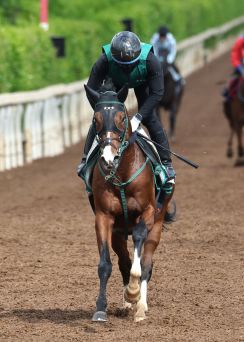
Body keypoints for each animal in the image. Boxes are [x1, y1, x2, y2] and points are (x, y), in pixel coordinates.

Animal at [84, 84, 175, 322]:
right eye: (95, 119)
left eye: (121, 118)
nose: (109, 158)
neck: (122, 173)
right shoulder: (104, 217)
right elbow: (105, 264)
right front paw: (101, 308)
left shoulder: (148, 212)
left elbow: (140, 254)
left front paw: (134, 293)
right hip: (118, 232)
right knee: (123, 261)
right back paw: (126, 303)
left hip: (157, 225)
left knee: (146, 263)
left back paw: (140, 305)